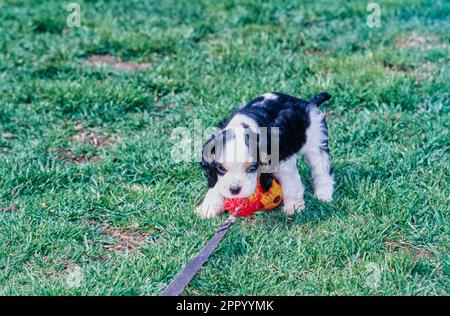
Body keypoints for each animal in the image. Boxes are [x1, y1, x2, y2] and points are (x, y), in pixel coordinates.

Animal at [197, 92, 334, 218]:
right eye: (221, 168)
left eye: (252, 168)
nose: (234, 189)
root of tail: (307, 103)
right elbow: (216, 184)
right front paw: (208, 207)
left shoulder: (283, 162)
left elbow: (291, 183)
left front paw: (293, 206)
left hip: (316, 139)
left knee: (322, 169)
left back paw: (323, 194)